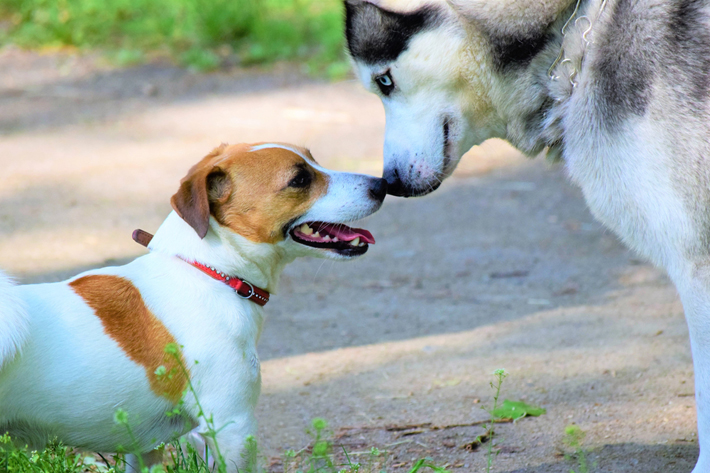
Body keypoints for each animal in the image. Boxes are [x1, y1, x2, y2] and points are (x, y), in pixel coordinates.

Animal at [0, 142, 386, 470]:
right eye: (300, 179)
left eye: (313, 158)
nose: (383, 184)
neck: (210, 271)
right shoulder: (232, 427)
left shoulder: (143, 448)